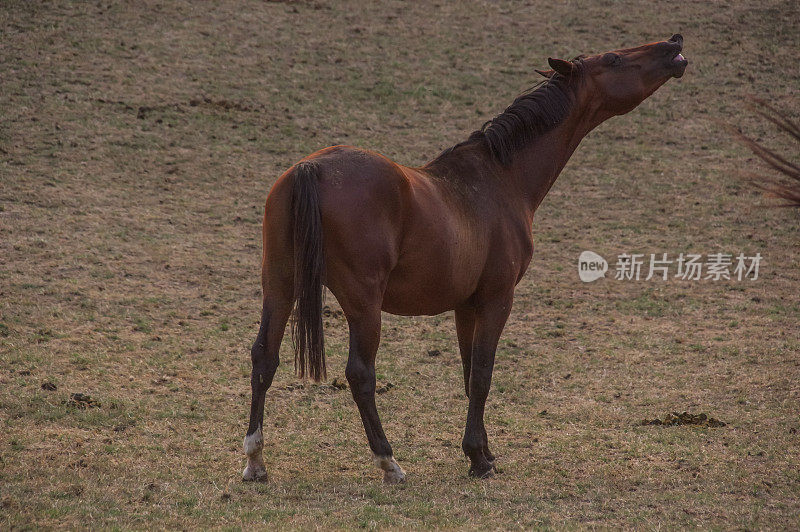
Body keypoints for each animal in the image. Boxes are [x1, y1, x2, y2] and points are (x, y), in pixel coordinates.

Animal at [242, 32, 688, 482]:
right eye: (613, 58)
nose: (673, 45)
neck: (500, 176)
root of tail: (311, 169)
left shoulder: (465, 306)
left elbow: (467, 370)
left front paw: (483, 451)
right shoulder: (496, 299)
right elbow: (482, 376)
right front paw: (477, 458)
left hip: (280, 286)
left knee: (264, 358)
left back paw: (255, 460)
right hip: (363, 304)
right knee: (360, 374)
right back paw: (389, 462)